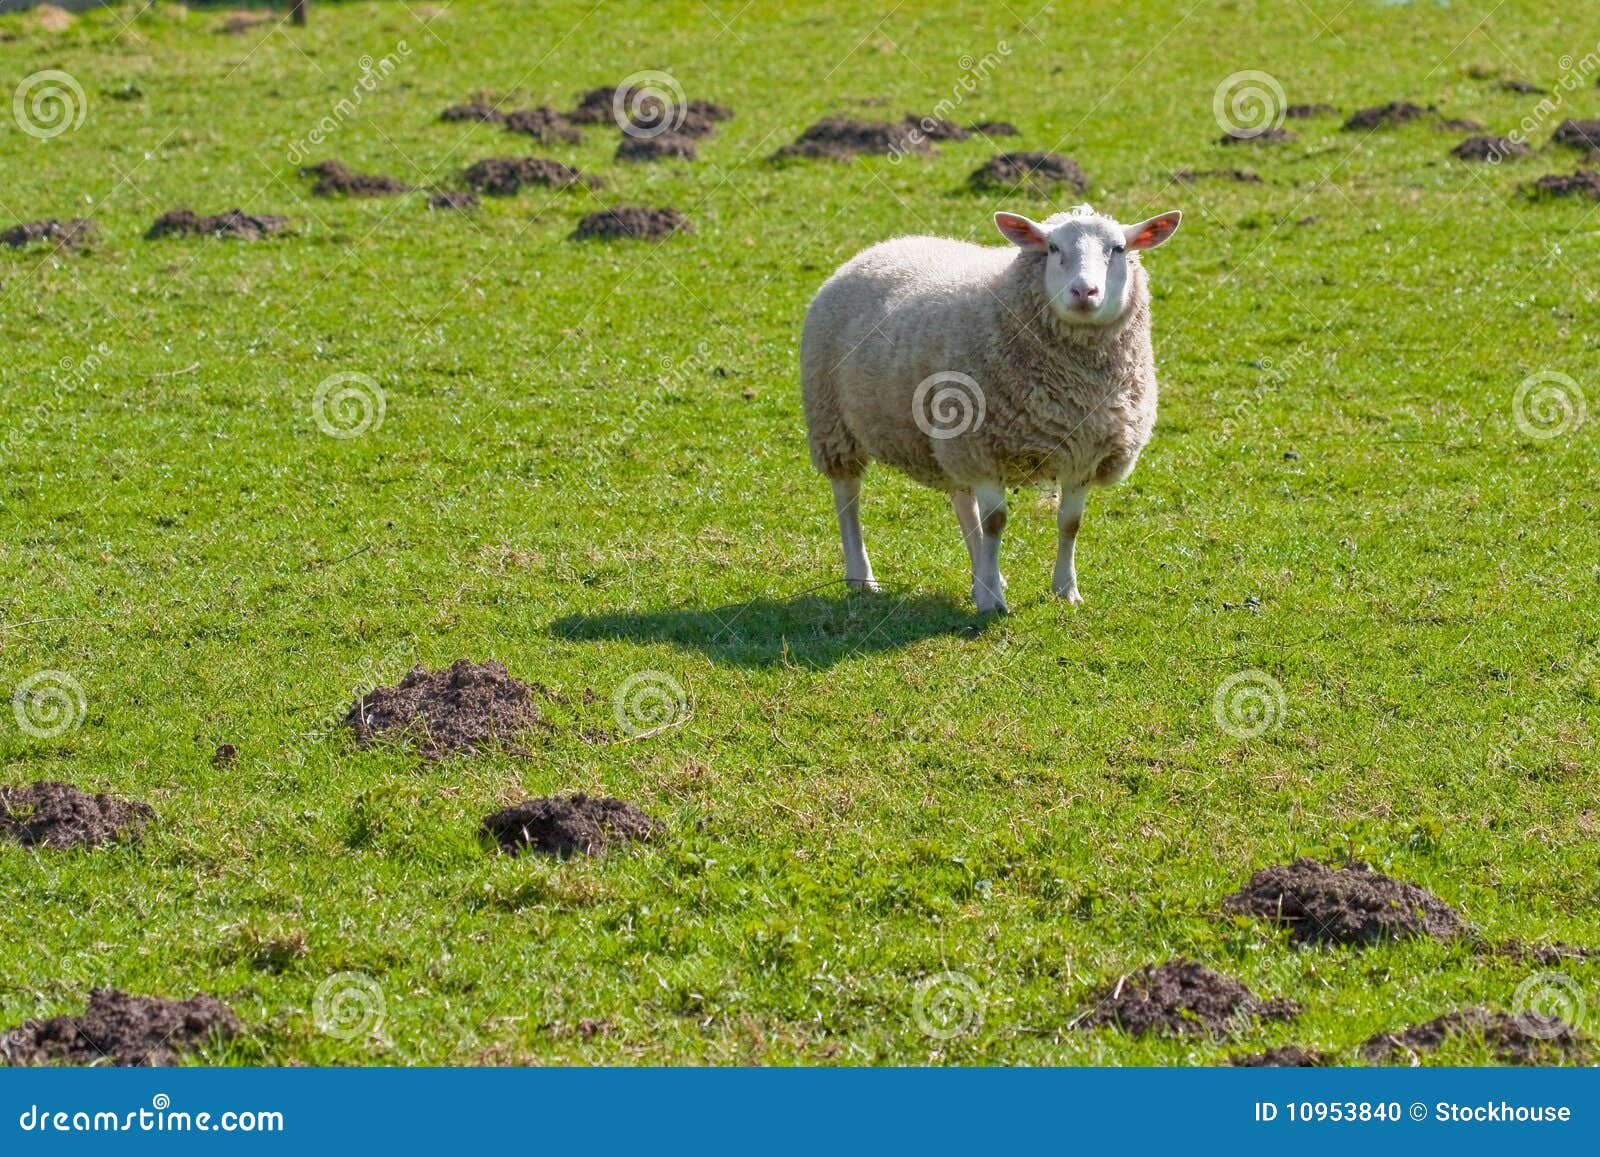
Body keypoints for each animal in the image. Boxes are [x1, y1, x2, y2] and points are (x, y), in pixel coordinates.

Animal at [796, 204, 1177, 611]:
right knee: (847, 499)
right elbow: (996, 522)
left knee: (963, 503)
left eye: (1118, 249)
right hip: (833, 421)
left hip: (946, 440)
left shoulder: (1085, 455)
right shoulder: (985, 447)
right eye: (1052, 247)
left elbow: (1069, 523)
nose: (1083, 291)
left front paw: (1064, 590)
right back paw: (862, 576)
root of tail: (882, 246)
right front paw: (992, 601)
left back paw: (981, 574)